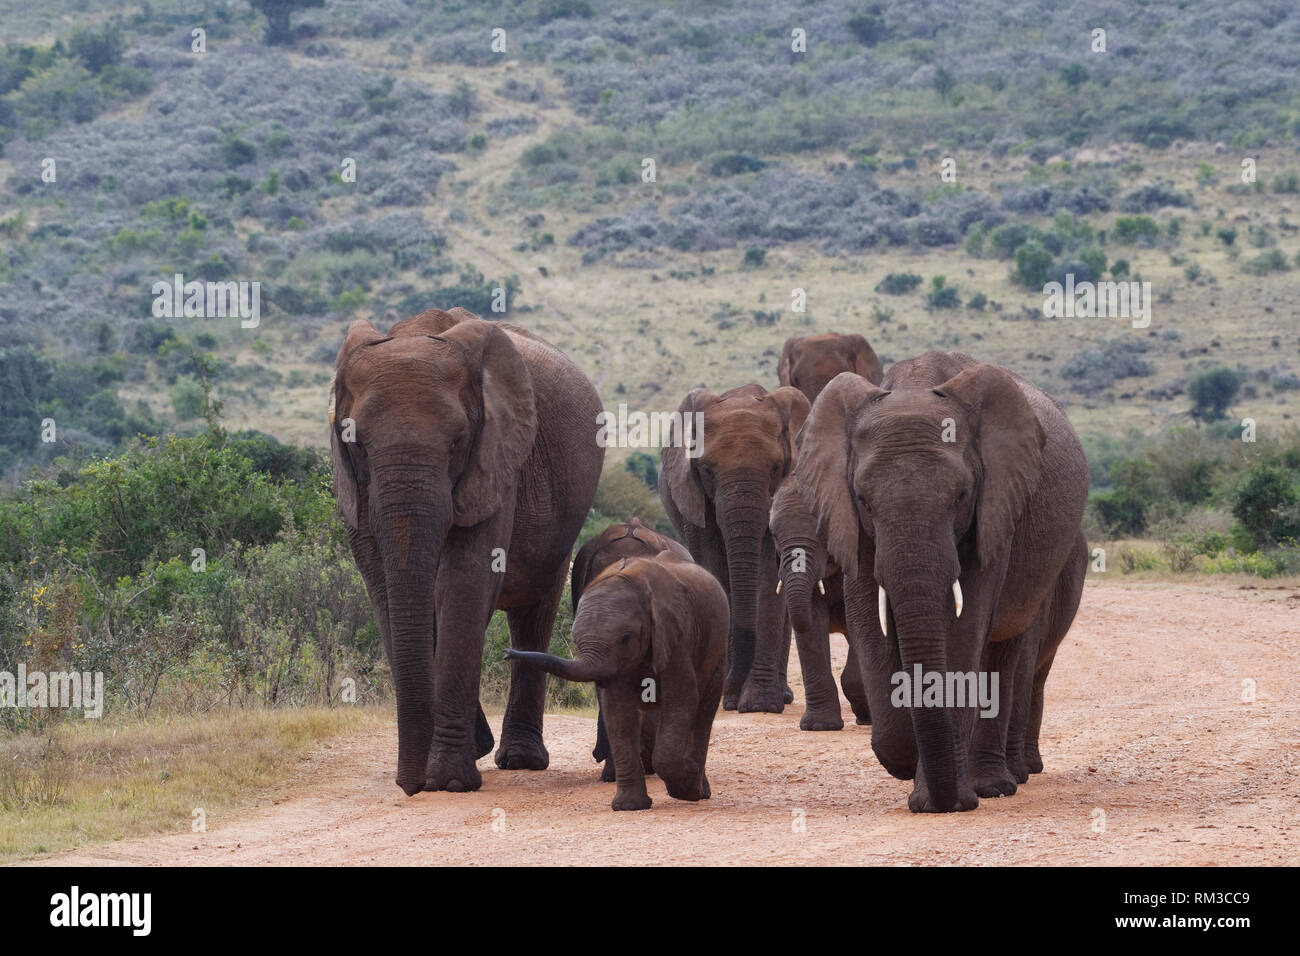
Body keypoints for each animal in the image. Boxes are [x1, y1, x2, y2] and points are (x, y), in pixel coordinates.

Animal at [330, 310, 603, 796]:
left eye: (458, 441)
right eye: (355, 442)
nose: (410, 787)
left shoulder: (496, 459)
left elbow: (465, 580)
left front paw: (448, 781)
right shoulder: (353, 486)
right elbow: (383, 588)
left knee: (534, 610)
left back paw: (519, 760)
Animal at [506, 548, 733, 811]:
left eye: (625, 638)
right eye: (576, 640)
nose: (507, 653)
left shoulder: (675, 637)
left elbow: (681, 698)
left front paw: (685, 787)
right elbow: (617, 709)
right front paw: (629, 807)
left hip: (717, 648)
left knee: (703, 712)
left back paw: (698, 790)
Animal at [665, 385, 806, 712]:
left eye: (776, 467)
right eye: (707, 470)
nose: (728, 693)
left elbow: (768, 578)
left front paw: (758, 704)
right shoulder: (694, 495)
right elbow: (715, 569)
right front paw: (725, 697)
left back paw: (782, 696)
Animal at [800, 353, 1086, 816]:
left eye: (962, 496)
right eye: (863, 499)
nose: (942, 801)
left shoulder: (996, 508)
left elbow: (966, 629)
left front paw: (941, 798)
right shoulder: (847, 517)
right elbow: (869, 619)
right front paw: (906, 764)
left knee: (1004, 652)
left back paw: (993, 786)